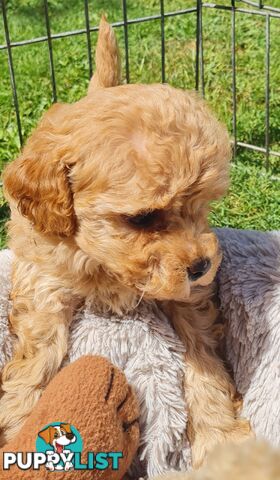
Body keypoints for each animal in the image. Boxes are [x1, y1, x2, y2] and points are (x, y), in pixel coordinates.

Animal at [1, 15, 252, 464]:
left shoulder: (188, 297)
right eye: (143, 218)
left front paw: (220, 434)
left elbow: (203, 356)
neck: (107, 267)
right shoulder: (44, 279)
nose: (202, 266)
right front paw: (17, 425)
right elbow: (37, 356)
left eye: (202, 206)